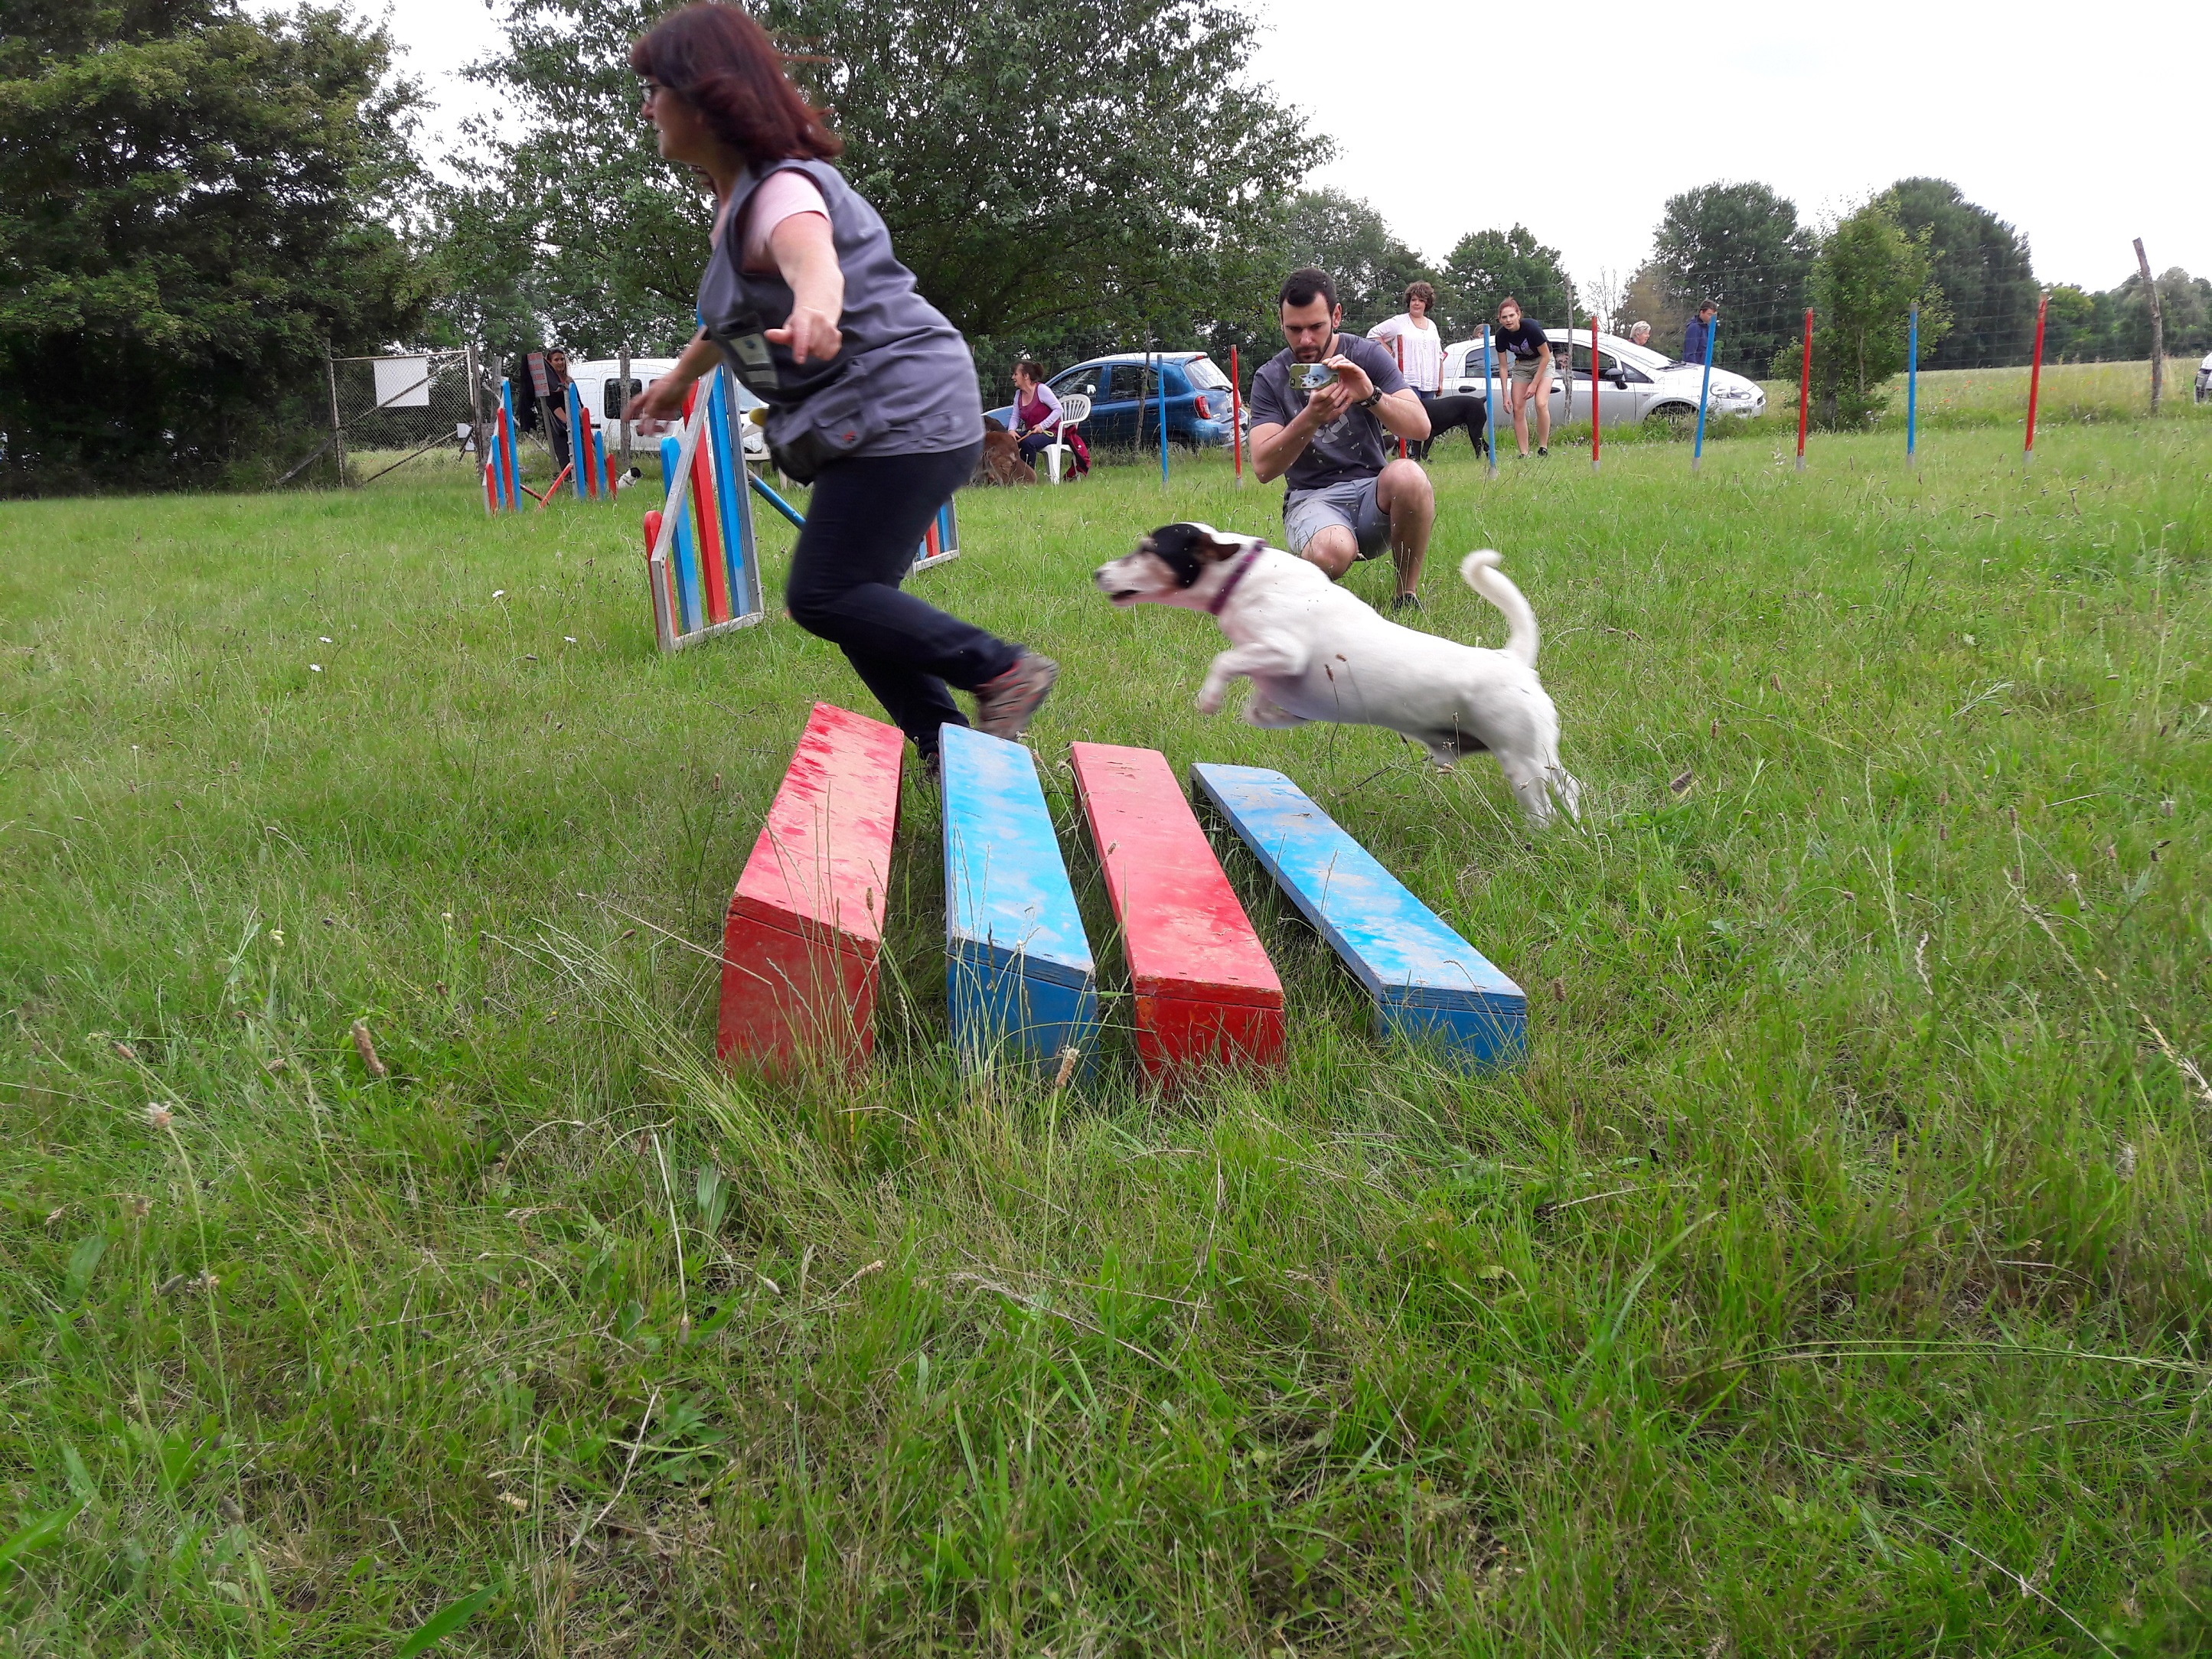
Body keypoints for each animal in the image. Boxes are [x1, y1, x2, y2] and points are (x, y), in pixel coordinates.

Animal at [1084, 526, 1574, 827]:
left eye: (1149, 550)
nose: (1098, 572)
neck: (1242, 577)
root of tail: (1511, 659)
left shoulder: (1285, 649)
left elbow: (1225, 660)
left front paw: (1210, 697)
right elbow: (1259, 705)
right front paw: (1273, 714)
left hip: (1522, 760)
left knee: (1548, 803)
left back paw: (1541, 835)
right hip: (1538, 757)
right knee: (1571, 789)